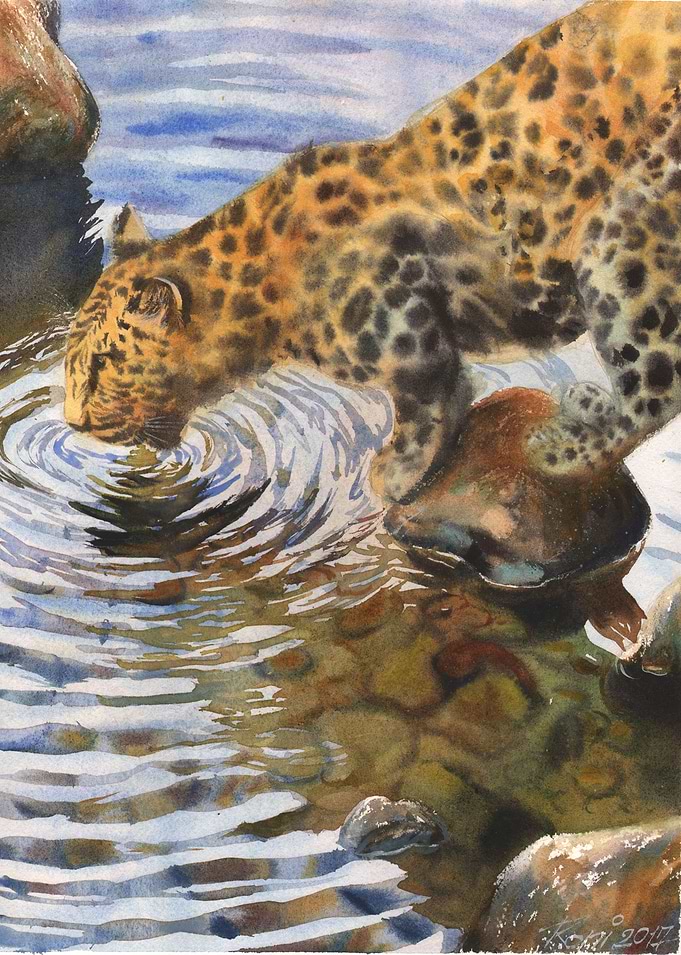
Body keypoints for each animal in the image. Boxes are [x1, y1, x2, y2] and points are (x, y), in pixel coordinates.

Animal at [64, 0, 681, 503]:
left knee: (656, 388)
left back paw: (559, 447)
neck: (266, 288)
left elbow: (432, 403)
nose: (72, 423)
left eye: (103, 364)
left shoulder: (417, 342)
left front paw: (395, 476)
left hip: (622, 236)